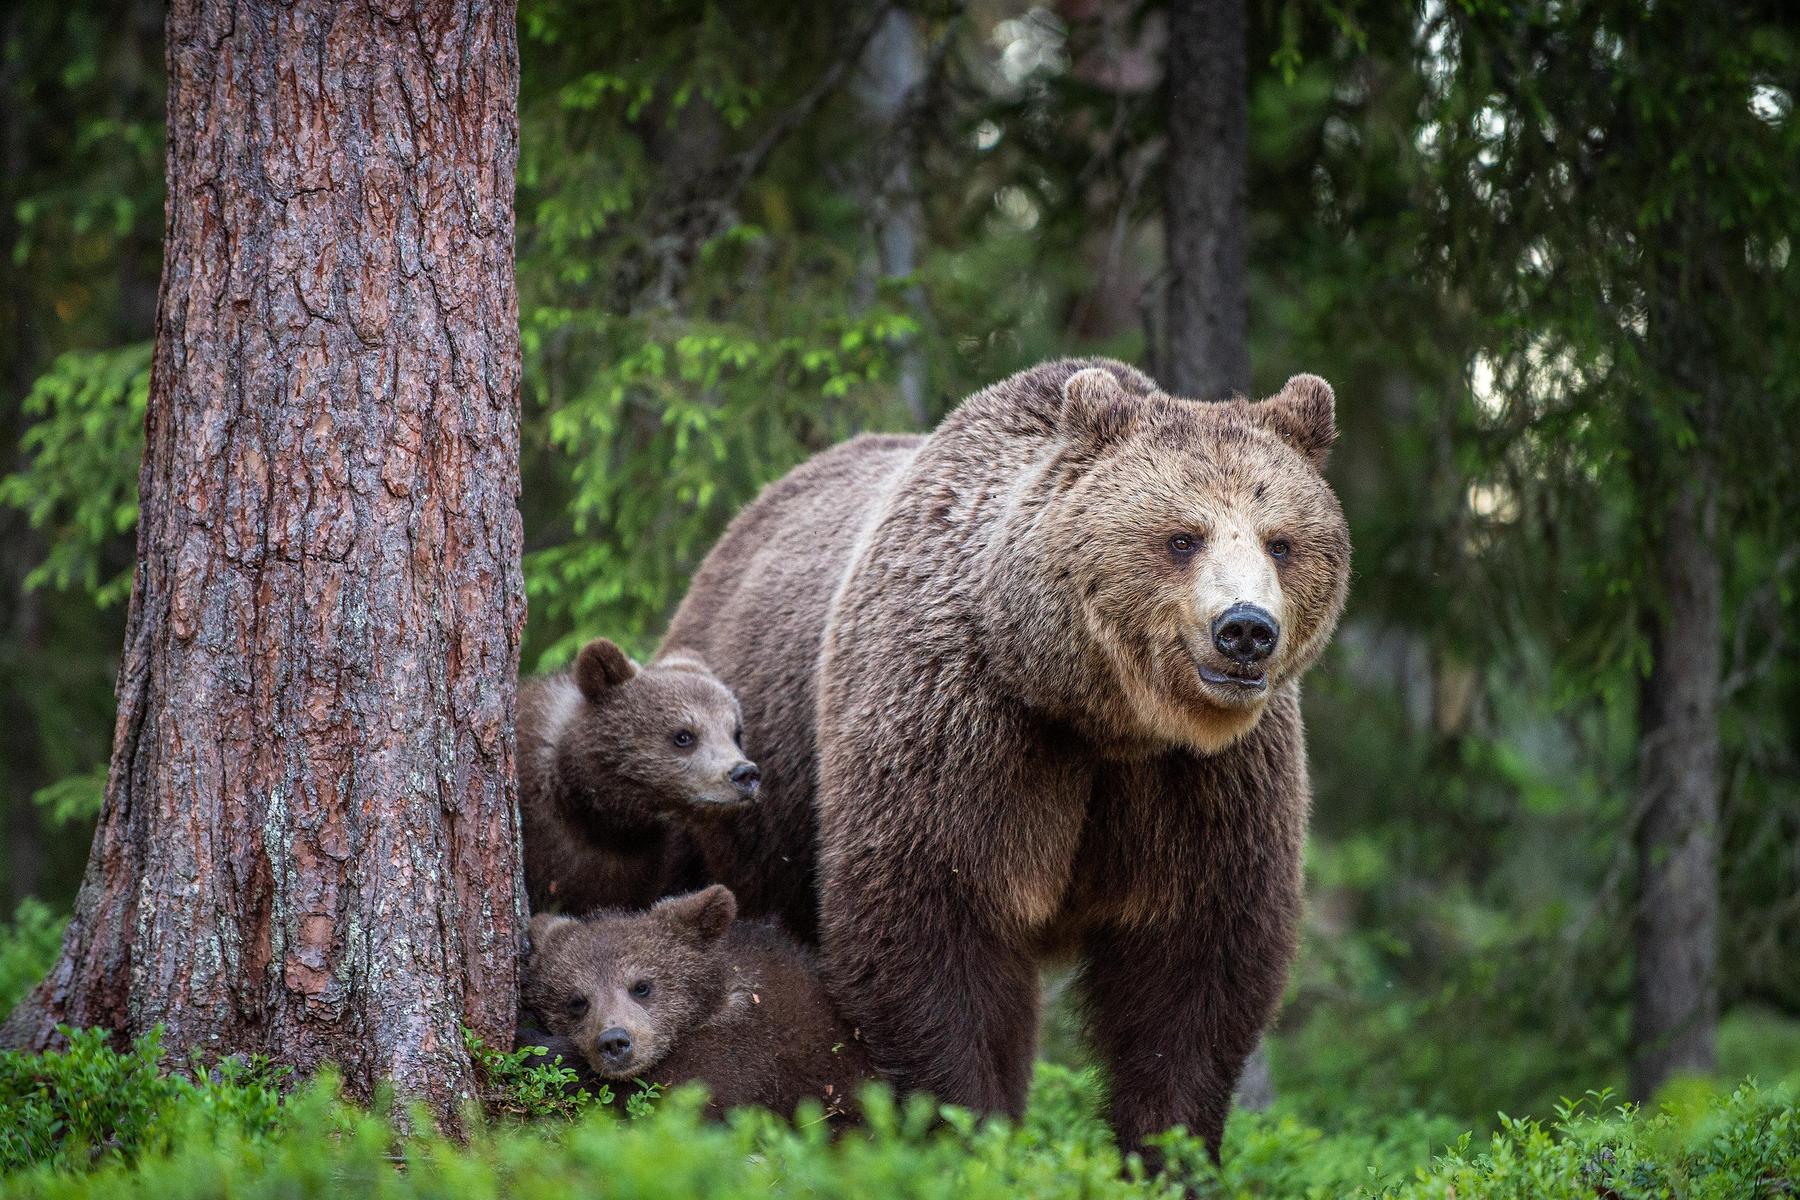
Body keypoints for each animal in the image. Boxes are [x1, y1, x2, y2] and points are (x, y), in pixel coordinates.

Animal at [662, 359, 1353, 1165]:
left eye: (1282, 542)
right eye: (1182, 537)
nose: (1245, 629)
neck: (1098, 712)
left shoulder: (1203, 780)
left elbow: (1197, 963)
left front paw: (1168, 1152)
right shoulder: (964, 730)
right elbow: (929, 928)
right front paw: (969, 1131)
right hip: (745, 780)